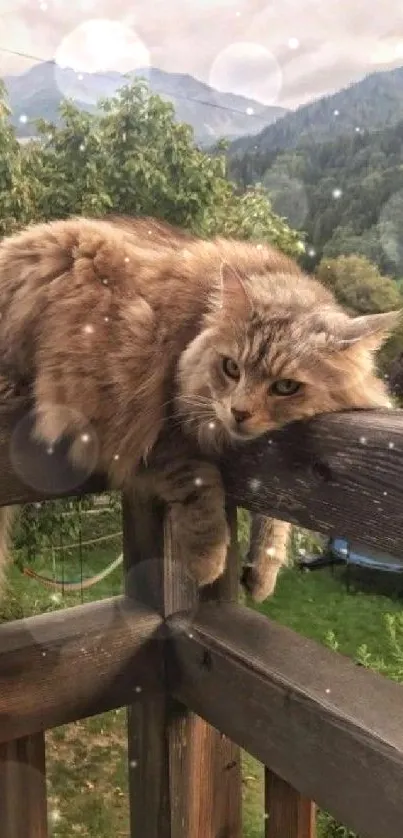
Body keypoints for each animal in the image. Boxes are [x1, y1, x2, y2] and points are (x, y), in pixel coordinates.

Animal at [0, 213, 398, 600]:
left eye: (286, 387)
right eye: (231, 368)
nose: (239, 412)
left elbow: (277, 518)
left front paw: (262, 573)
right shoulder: (158, 432)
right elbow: (203, 486)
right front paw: (208, 563)